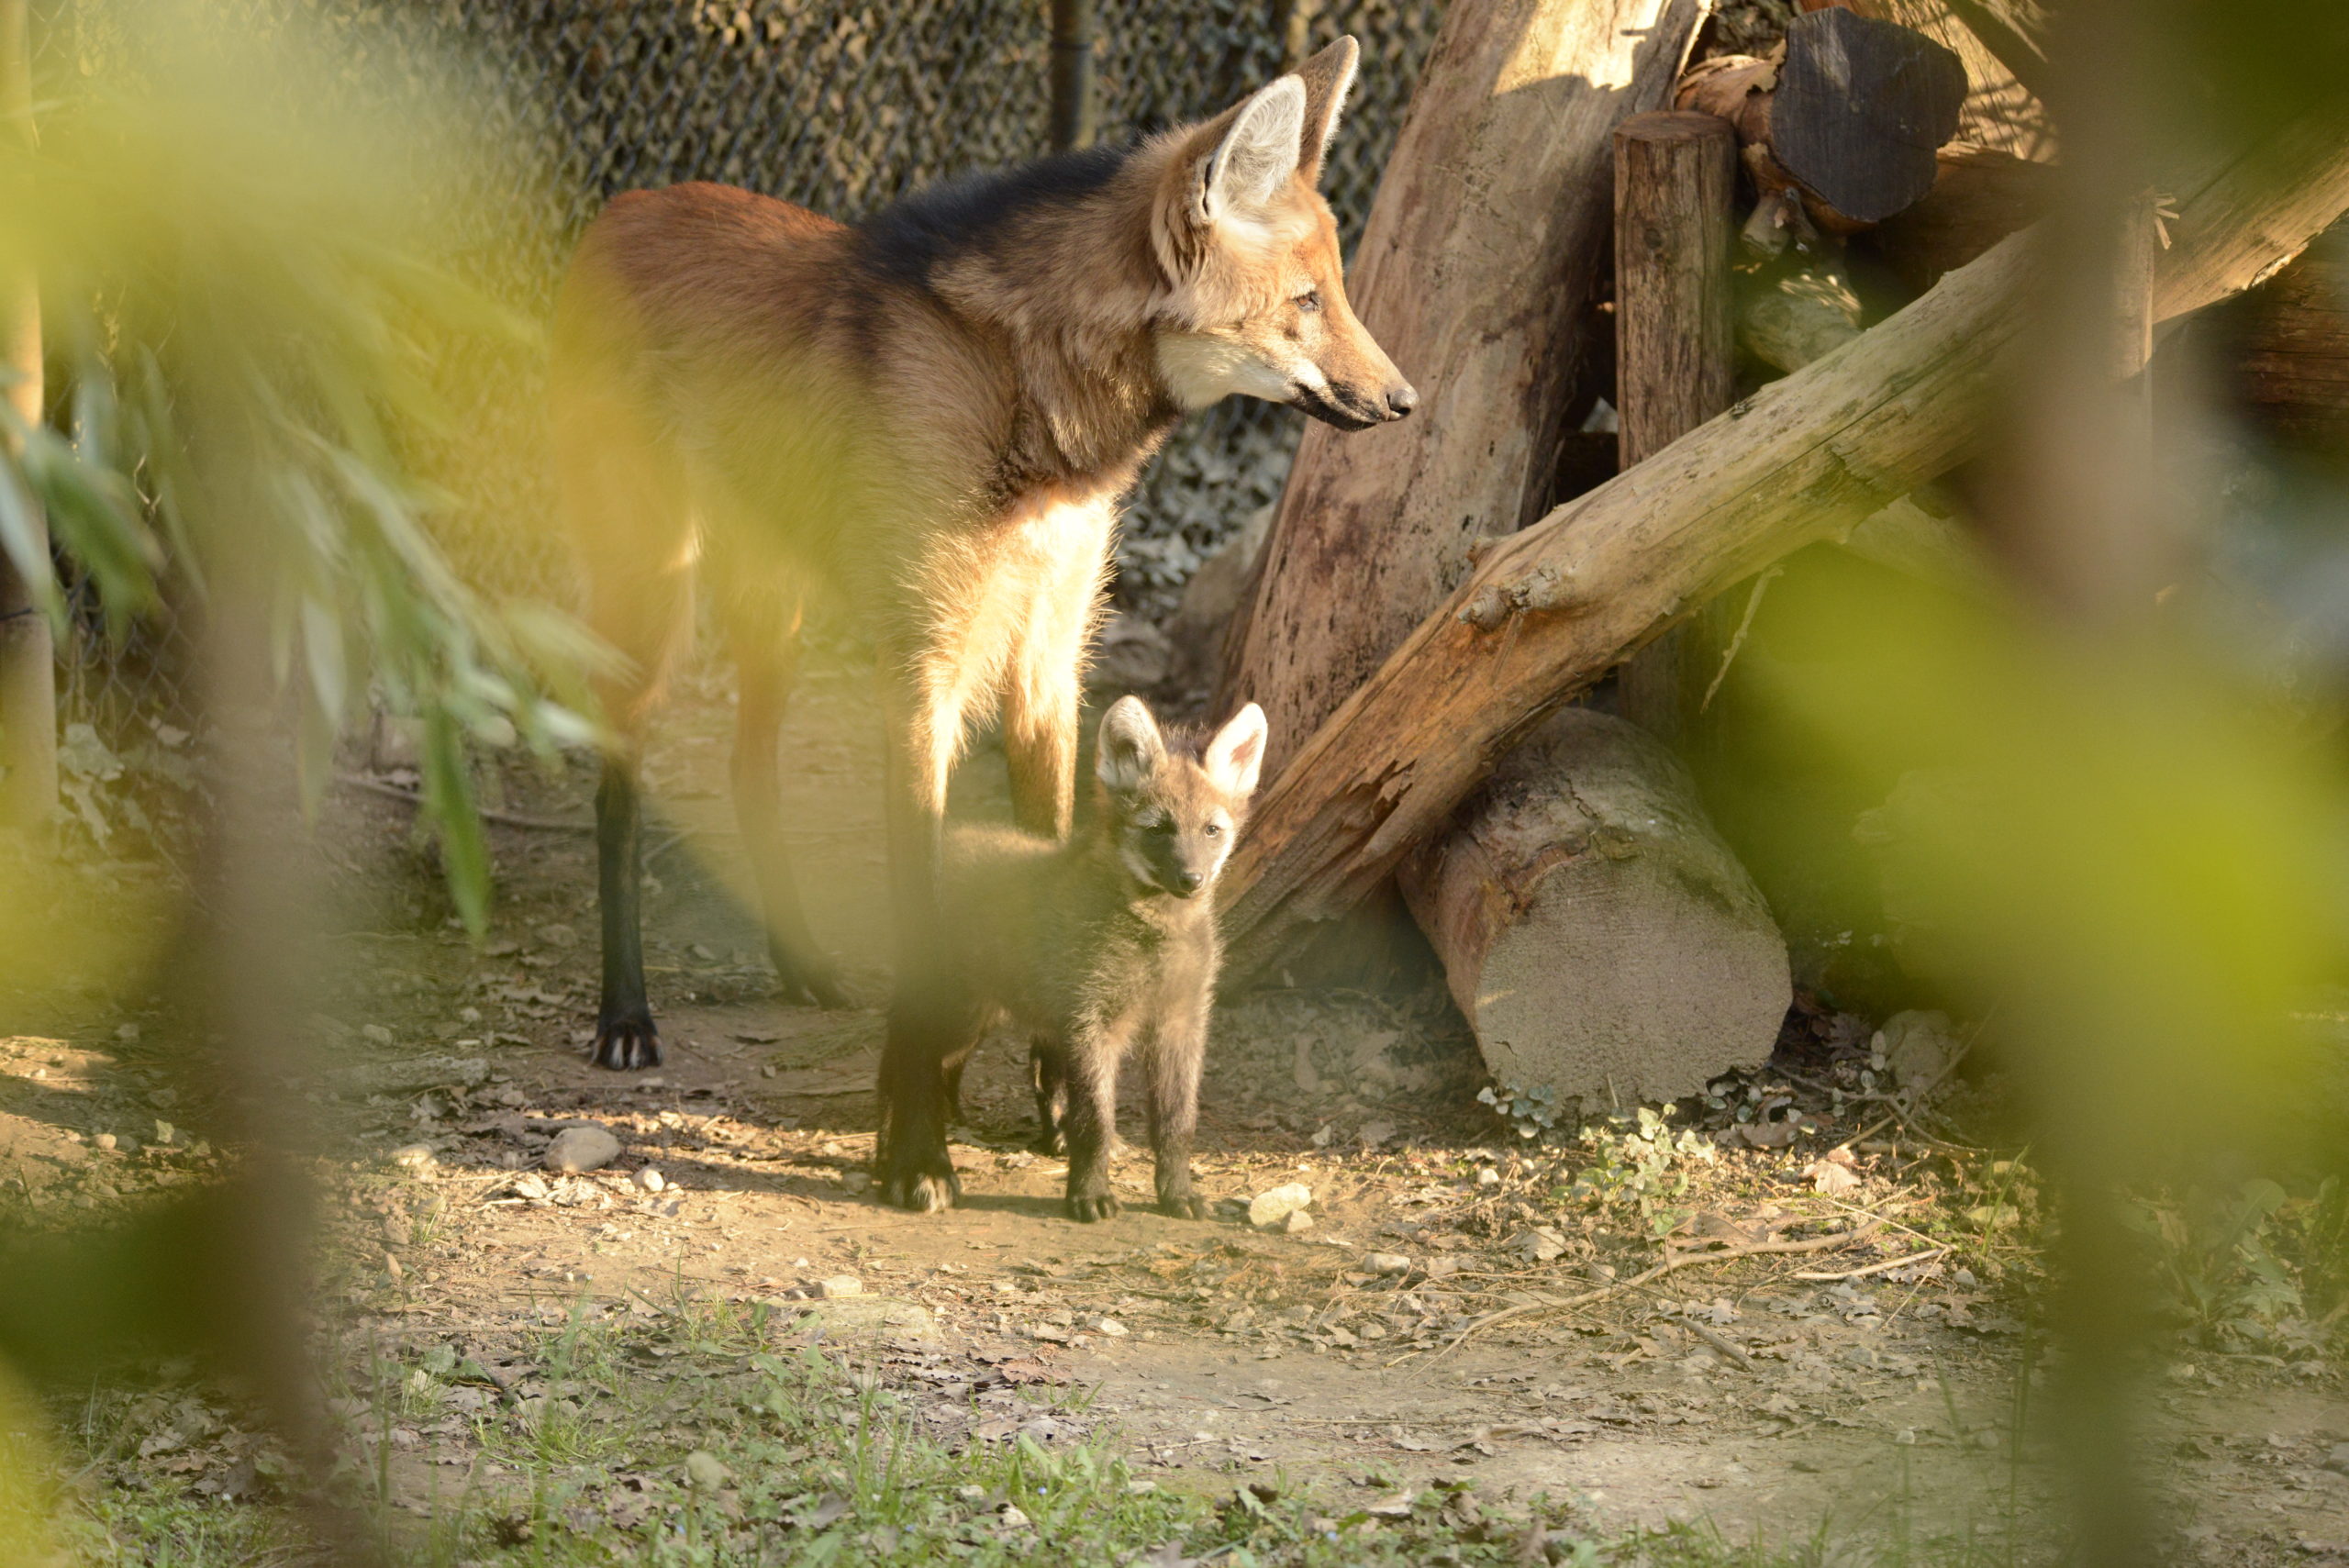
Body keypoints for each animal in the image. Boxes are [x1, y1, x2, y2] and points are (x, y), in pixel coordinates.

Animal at [550, 39, 1409, 1211]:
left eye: (1337, 294)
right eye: (1307, 300)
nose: (1403, 401)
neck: (1040, 422)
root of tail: (624, 203)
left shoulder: (1046, 658)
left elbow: (1051, 858)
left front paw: (1050, 1105)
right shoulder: (928, 671)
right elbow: (925, 918)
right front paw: (915, 1143)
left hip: (777, 601)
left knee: (747, 764)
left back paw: (801, 963)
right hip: (653, 594)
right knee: (618, 780)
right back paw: (626, 1014)